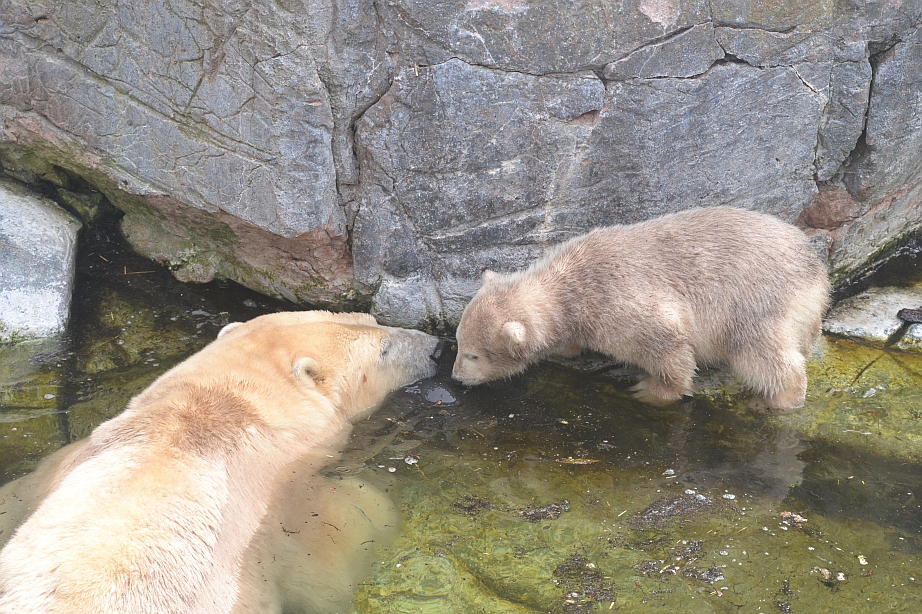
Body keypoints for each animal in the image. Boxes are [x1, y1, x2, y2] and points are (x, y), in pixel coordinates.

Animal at [0, 310, 439, 614]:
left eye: (374, 319)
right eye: (384, 350)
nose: (435, 346)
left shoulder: (61, 465)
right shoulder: (285, 501)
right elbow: (351, 534)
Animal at [452, 207, 830, 412]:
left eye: (473, 355)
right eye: (457, 344)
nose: (456, 377)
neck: (569, 285)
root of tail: (815, 271)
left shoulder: (617, 304)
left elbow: (667, 346)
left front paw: (649, 390)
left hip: (751, 301)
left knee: (761, 353)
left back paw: (778, 399)